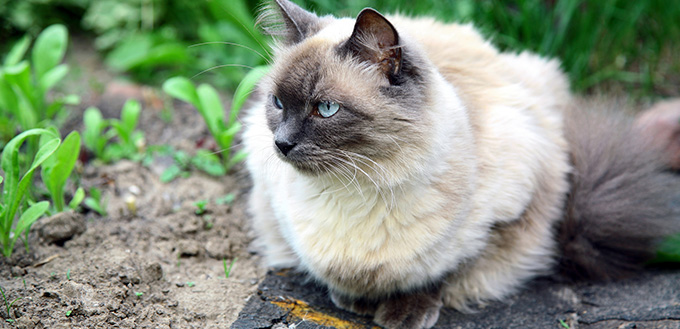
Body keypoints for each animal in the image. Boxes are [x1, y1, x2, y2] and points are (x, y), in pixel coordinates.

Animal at [240, 1, 680, 326]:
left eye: (326, 109)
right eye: (278, 103)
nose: (282, 144)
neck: (359, 185)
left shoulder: (505, 216)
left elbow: (443, 269)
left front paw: (403, 311)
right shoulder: (277, 209)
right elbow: (333, 273)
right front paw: (356, 300)